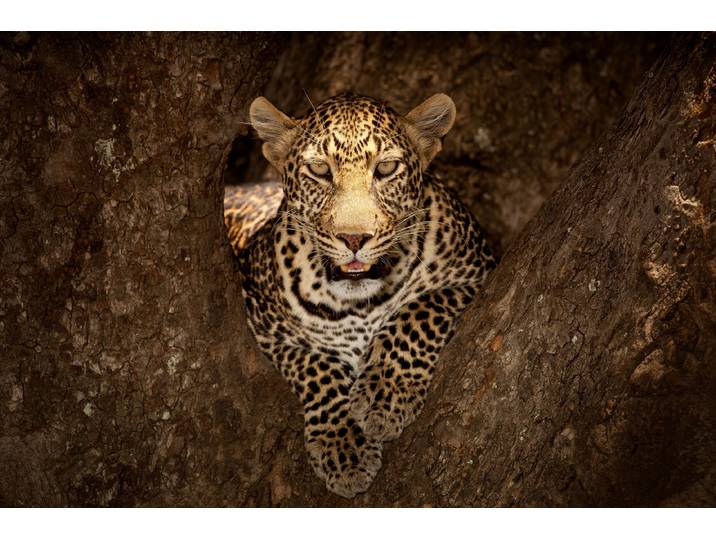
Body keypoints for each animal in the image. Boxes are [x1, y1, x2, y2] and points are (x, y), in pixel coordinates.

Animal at [224, 92, 496, 498]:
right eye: (320, 170)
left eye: (386, 168)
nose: (354, 239)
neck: (358, 304)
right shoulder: (262, 323)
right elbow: (315, 365)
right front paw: (344, 446)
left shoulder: (478, 273)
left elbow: (418, 311)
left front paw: (386, 393)